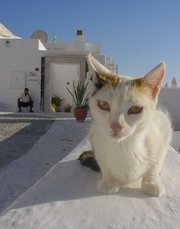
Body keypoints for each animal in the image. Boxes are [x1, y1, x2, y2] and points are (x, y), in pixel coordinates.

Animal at [87, 54, 172, 197]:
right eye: (103, 105)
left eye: (135, 109)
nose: (116, 126)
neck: (123, 145)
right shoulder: (95, 137)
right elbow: (103, 163)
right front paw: (109, 182)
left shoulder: (163, 129)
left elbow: (156, 162)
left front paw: (152, 182)